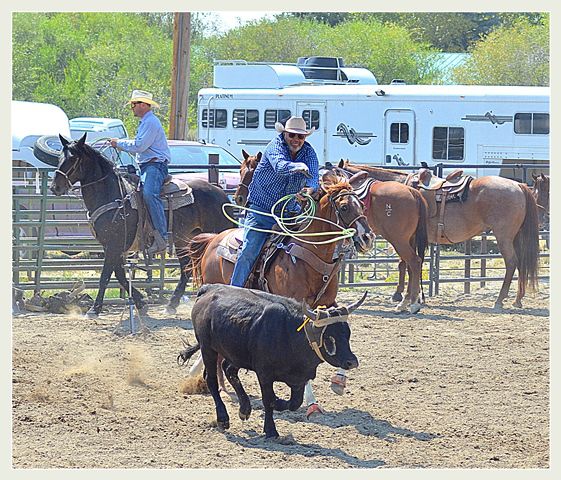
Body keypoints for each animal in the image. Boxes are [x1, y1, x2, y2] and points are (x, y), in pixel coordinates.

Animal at [49, 133, 234, 316]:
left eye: (73, 159)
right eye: (59, 157)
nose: (54, 187)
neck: (111, 194)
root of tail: (220, 192)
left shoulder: (114, 244)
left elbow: (106, 275)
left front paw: (95, 309)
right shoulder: (112, 245)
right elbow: (119, 275)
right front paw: (140, 302)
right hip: (184, 240)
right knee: (186, 268)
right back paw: (171, 304)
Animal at [336, 158, 540, 308]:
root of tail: (519, 186)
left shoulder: (404, 238)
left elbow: (407, 264)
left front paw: (404, 296)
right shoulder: (410, 238)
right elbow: (406, 265)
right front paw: (406, 295)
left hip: (503, 236)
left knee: (512, 262)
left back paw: (499, 300)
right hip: (514, 237)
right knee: (521, 262)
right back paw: (517, 299)